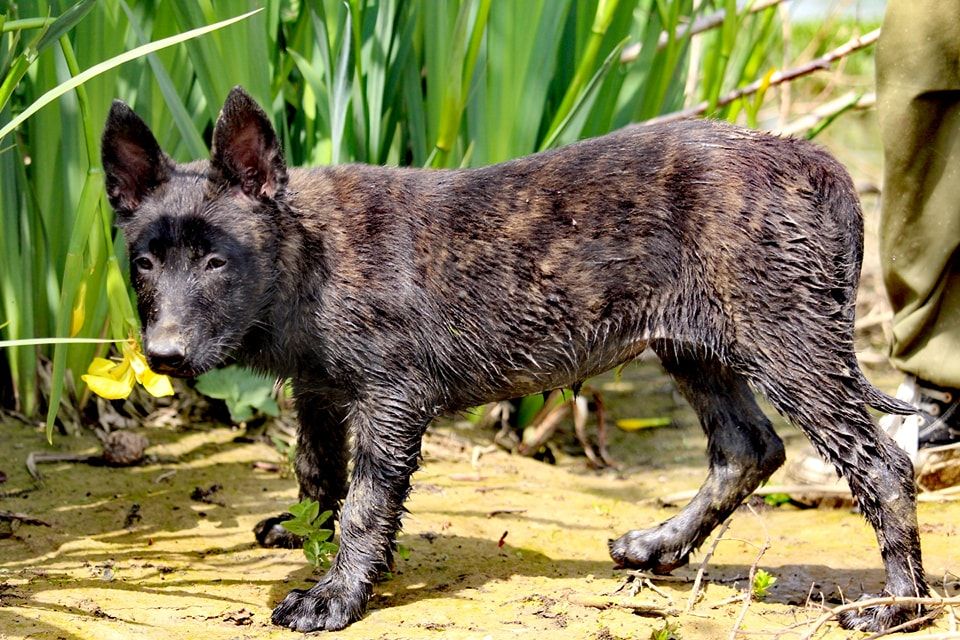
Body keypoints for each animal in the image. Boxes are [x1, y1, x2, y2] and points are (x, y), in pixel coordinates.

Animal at [101, 87, 928, 632]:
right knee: (747, 447)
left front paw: (335, 596)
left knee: (882, 467)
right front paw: (308, 529)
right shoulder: (320, 390)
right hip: (695, 347)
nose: (164, 355)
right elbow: (317, 467)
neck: (307, 256)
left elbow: (368, 506)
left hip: (789, 343)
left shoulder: (391, 399)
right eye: (144, 263)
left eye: (217, 261)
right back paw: (659, 546)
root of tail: (813, 159)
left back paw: (898, 607)